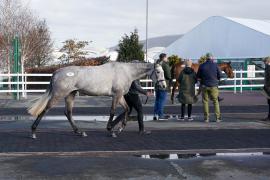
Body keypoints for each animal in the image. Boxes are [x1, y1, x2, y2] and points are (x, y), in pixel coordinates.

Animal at [28, 62, 166, 139]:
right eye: (158, 71)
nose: (164, 86)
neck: (126, 72)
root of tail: (56, 72)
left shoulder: (120, 96)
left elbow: (126, 109)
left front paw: (120, 128)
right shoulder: (116, 95)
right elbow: (112, 111)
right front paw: (111, 130)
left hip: (71, 95)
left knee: (68, 113)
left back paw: (80, 132)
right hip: (59, 94)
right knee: (45, 109)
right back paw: (33, 132)